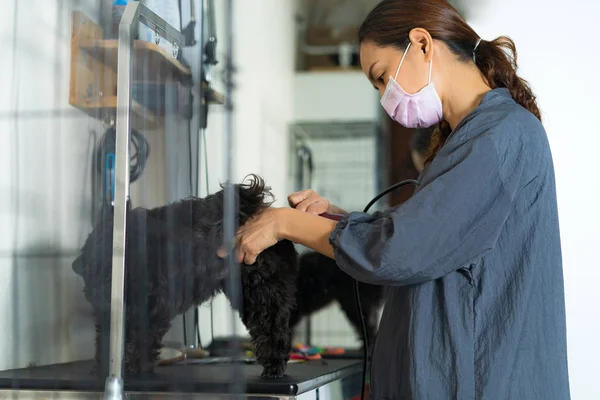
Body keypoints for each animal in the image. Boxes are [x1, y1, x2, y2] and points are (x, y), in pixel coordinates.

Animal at [72, 175, 298, 378]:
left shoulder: (147, 310)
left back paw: (274, 367)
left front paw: (128, 368)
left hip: (262, 294)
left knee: (273, 330)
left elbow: (138, 340)